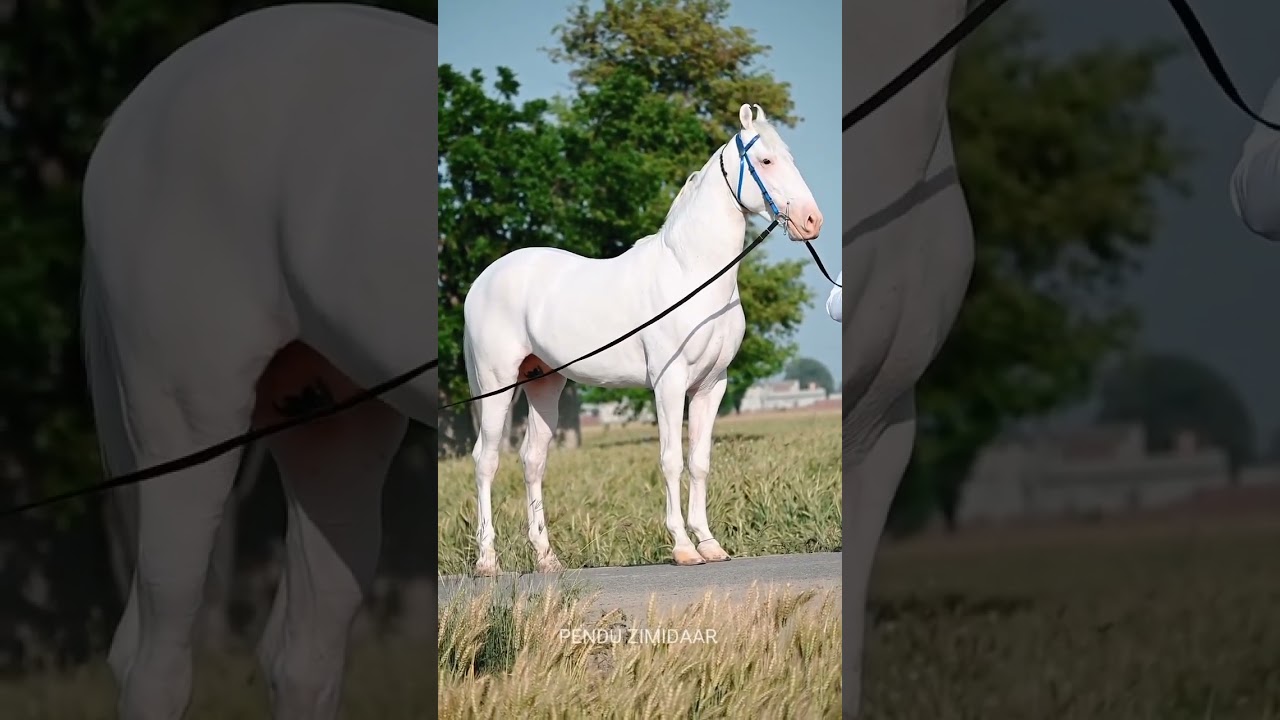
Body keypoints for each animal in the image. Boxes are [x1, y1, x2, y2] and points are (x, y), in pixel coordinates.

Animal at [461, 104, 824, 577]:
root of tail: (481, 281)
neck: (692, 272)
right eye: (765, 160)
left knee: (533, 460)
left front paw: (710, 544)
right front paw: (683, 547)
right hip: (496, 383)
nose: (812, 221)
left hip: (544, 381)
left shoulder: (712, 385)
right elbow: (671, 460)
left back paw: (546, 558)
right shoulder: (669, 384)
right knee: (485, 460)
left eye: (792, 158)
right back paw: (488, 560)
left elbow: (699, 462)